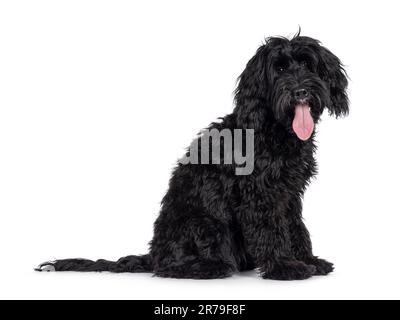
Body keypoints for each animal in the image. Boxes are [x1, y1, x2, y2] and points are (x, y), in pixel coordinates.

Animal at [36, 34, 346, 280]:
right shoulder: (259, 194)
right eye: (279, 68)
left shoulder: (289, 194)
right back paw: (211, 267)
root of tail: (154, 252)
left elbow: (295, 228)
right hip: (206, 223)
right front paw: (284, 267)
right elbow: (271, 229)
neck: (273, 129)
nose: (301, 91)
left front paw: (307, 260)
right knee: (168, 267)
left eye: (306, 64)